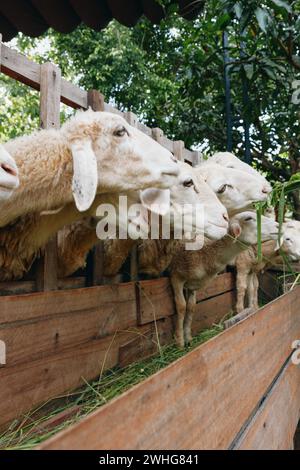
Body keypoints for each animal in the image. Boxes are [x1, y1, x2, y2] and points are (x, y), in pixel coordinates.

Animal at [170, 211, 278, 346]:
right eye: (248, 218)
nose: (278, 226)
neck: (205, 253)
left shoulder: (193, 286)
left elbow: (191, 307)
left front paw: (188, 337)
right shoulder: (176, 277)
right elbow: (181, 306)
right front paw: (180, 341)